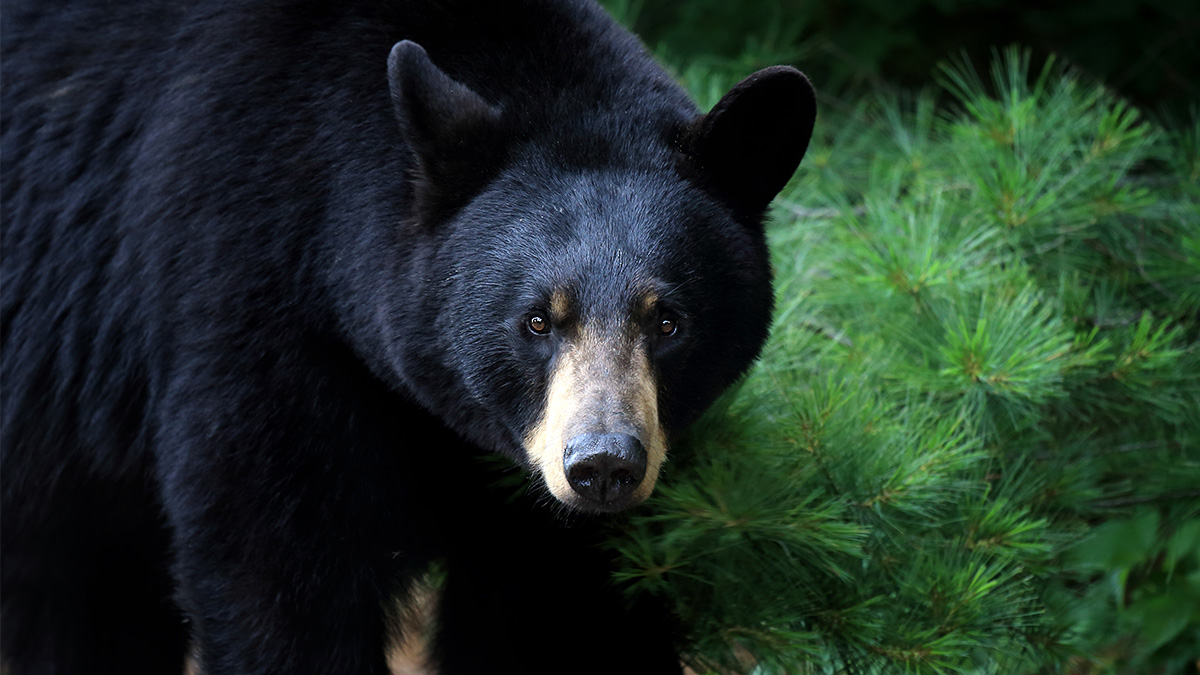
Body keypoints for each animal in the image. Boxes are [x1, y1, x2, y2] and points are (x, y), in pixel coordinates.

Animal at [0, 0, 816, 673]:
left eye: (667, 320)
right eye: (537, 319)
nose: (603, 464)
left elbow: (562, 613)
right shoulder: (246, 299)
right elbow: (278, 568)